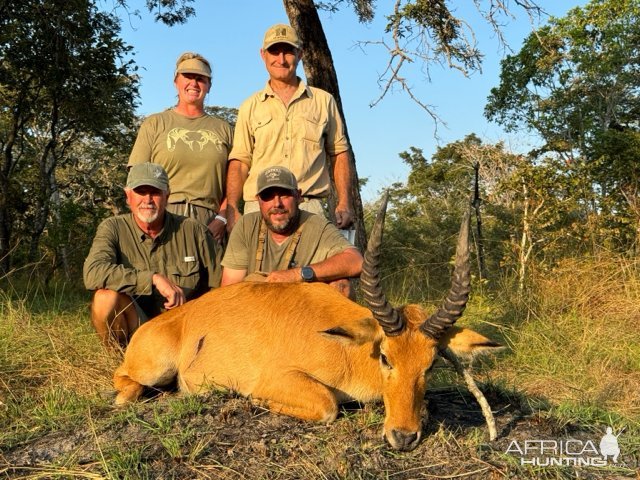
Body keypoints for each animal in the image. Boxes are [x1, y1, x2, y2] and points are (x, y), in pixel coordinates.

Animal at [114, 194, 500, 450]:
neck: (348, 352)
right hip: (151, 369)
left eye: (430, 365)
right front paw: (255, 401)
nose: (403, 437)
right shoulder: (283, 379)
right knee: (125, 381)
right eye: (385, 357)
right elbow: (328, 406)